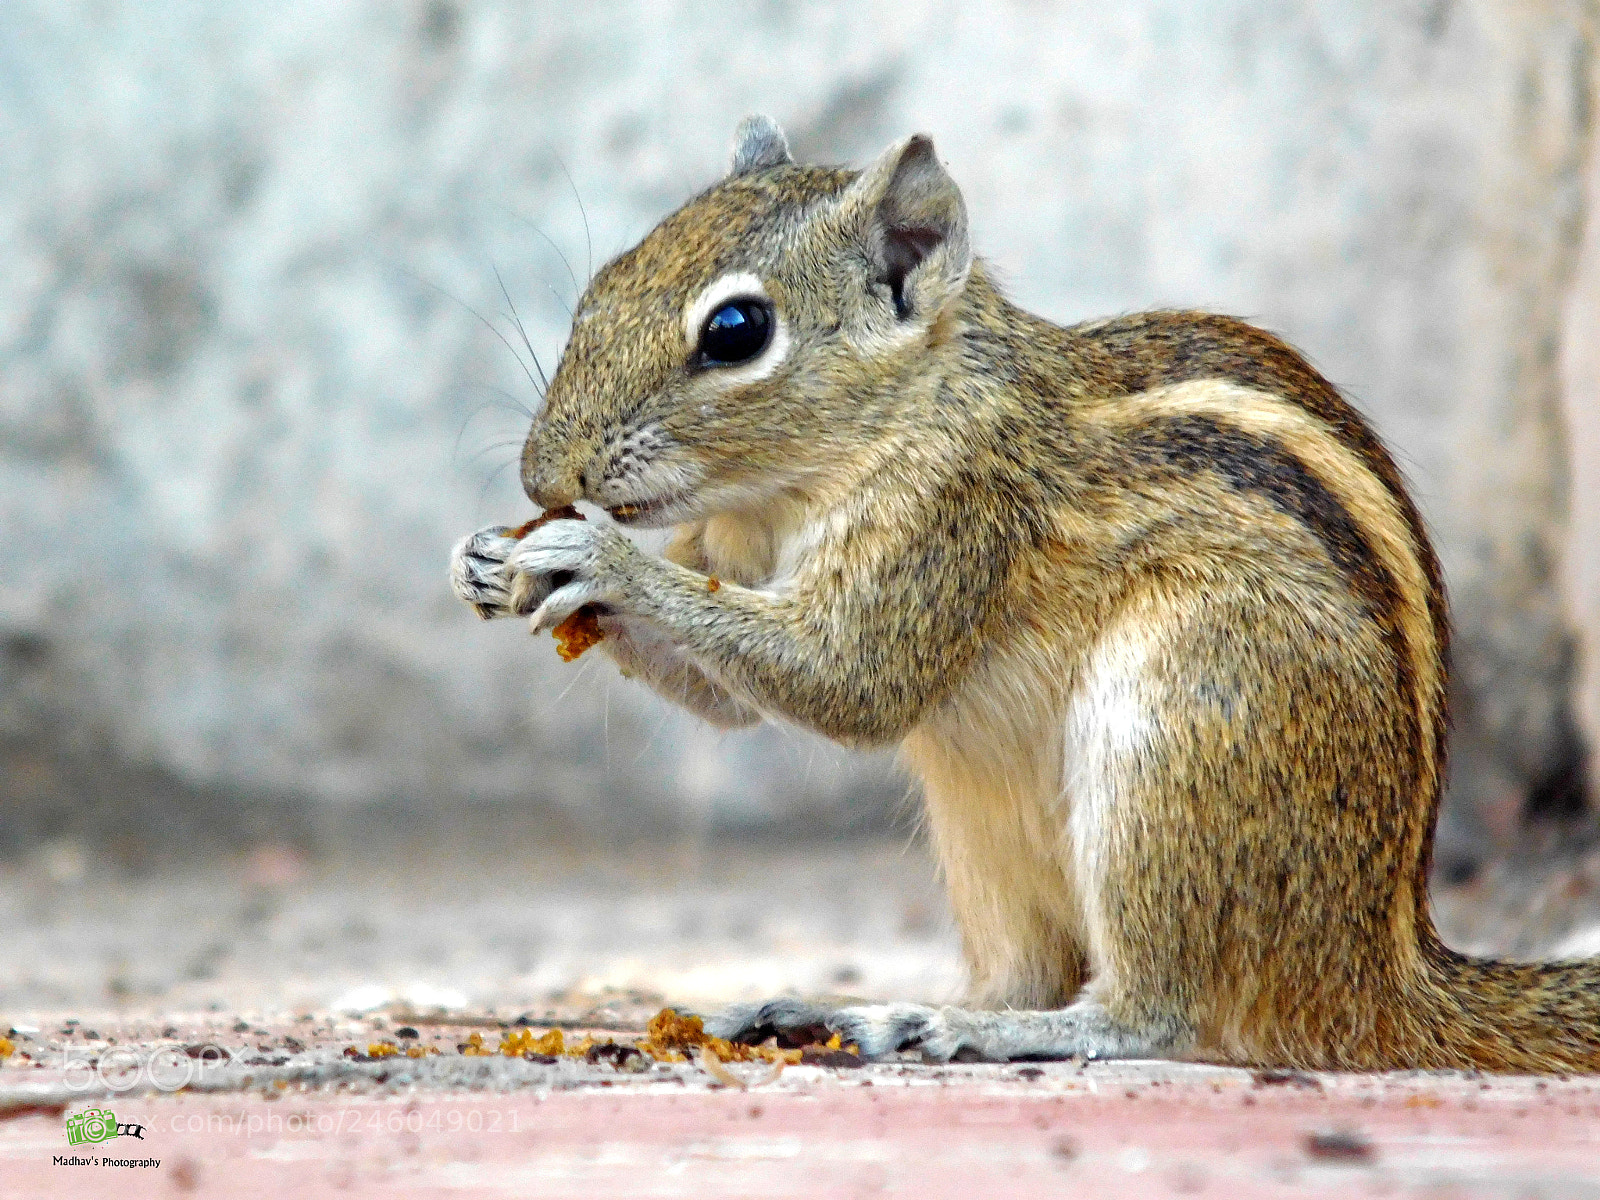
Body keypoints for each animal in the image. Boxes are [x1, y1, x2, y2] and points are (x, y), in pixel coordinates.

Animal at [449, 115, 1600, 1071]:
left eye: (735, 331)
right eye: (604, 283)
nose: (543, 478)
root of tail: (1376, 963)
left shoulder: (957, 517)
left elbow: (848, 679)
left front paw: (601, 560)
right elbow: (729, 699)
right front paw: (488, 559)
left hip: (1178, 728)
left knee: (1154, 1012)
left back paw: (986, 1030)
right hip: (985, 837)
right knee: (1029, 970)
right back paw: (858, 1013)